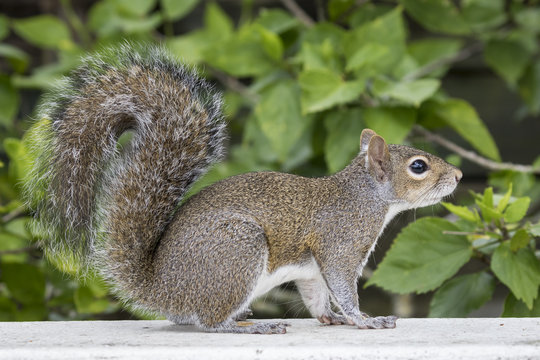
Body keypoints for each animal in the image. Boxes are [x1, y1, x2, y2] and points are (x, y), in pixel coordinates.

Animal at [23, 44, 462, 334]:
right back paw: (245, 325)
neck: (365, 198)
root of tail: (162, 289)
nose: (458, 175)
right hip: (238, 249)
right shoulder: (338, 244)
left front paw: (332, 318)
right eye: (418, 167)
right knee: (209, 322)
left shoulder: (310, 269)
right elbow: (341, 285)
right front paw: (363, 318)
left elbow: (317, 295)